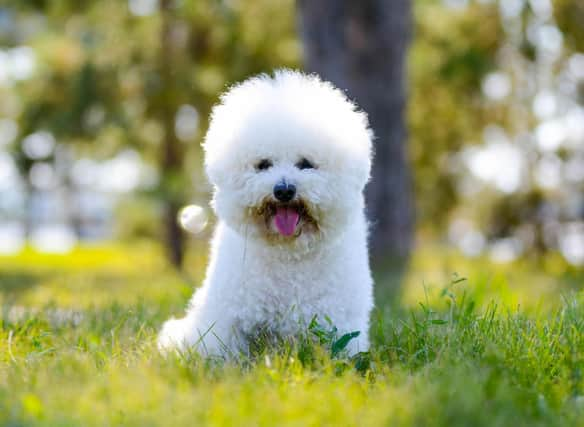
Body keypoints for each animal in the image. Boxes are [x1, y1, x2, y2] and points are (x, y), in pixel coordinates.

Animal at [157, 70, 372, 358]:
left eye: (306, 164)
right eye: (263, 165)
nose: (284, 190)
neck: (288, 253)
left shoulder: (338, 320)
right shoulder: (229, 315)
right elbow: (223, 348)